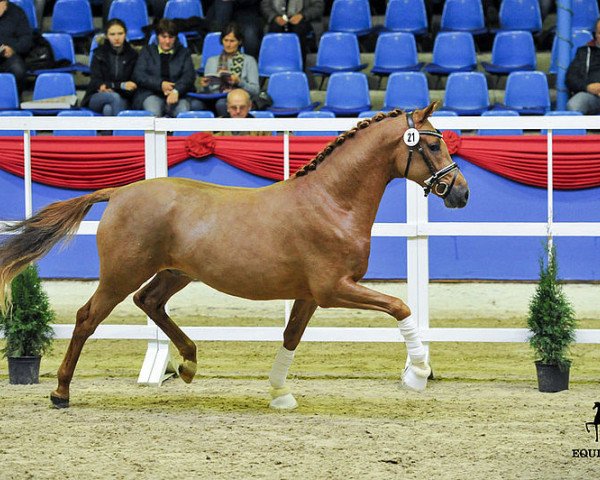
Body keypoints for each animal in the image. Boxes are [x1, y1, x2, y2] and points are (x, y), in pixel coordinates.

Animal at [0, 104, 468, 408]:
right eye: (432, 146)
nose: (461, 192)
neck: (332, 201)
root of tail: (119, 191)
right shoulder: (334, 289)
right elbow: (400, 306)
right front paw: (417, 375)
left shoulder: (310, 295)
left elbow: (291, 336)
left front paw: (280, 394)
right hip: (121, 274)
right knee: (87, 318)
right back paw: (60, 393)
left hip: (175, 273)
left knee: (149, 301)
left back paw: (188, 364)